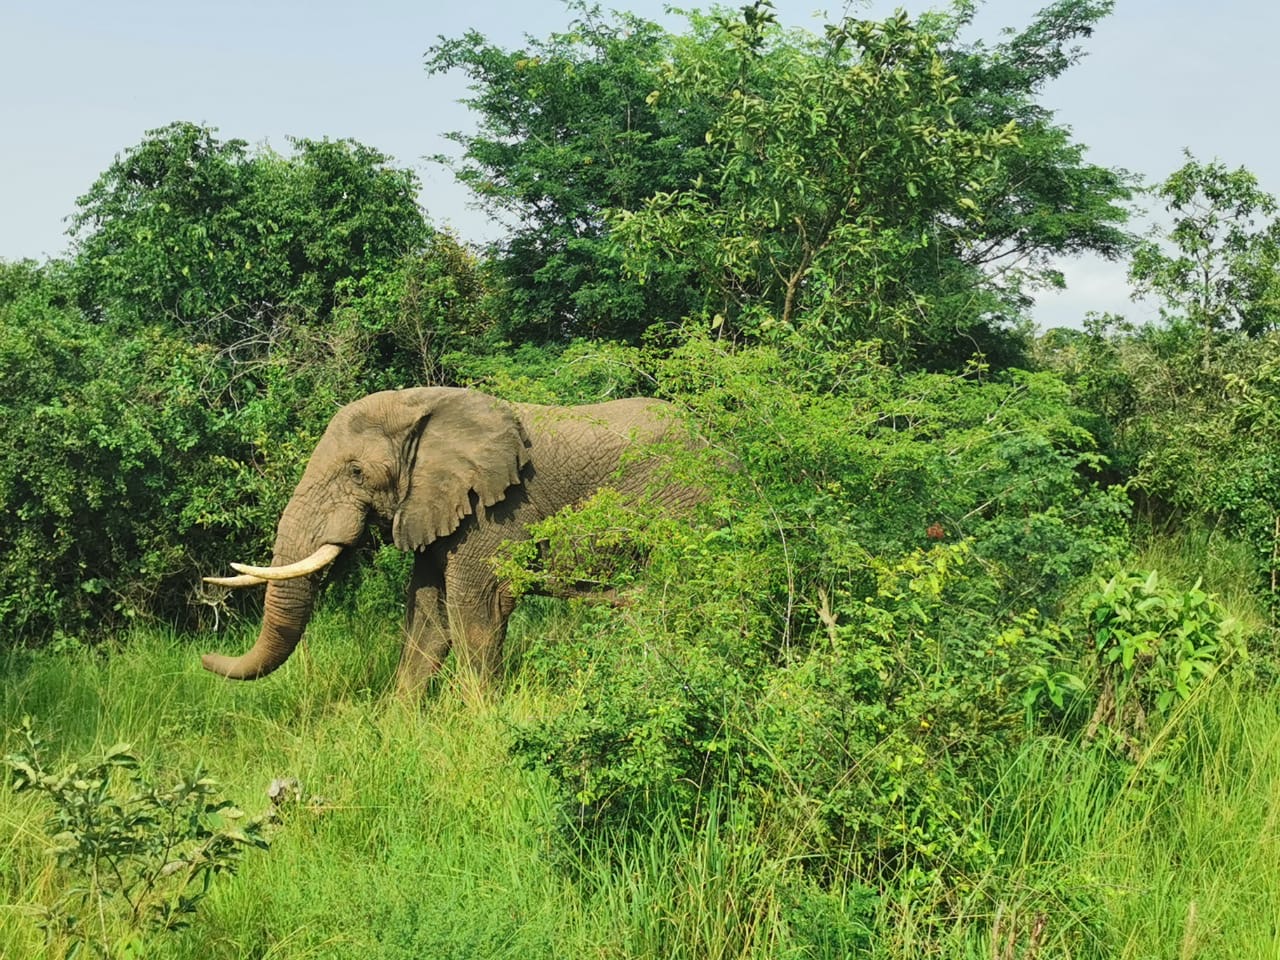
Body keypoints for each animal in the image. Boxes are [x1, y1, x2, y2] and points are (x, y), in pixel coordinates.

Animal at [202, 386, 701, 696]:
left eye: (357, 472)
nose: (205, 659)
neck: (420, 405)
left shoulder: (494, 512)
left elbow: (477, 610)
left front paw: (482, 719)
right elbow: (427, 615)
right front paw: (397, 727)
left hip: (678, 506)